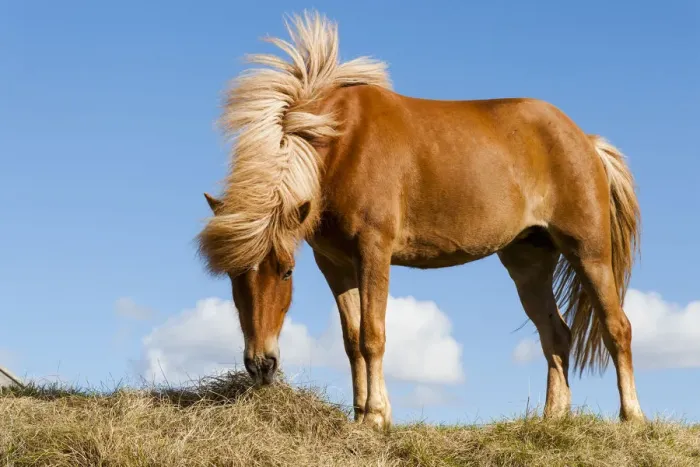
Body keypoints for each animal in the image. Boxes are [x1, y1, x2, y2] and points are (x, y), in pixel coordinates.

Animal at [197, 11, 644, 430]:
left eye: (286, 271)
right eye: (233, 275)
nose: (261, 366)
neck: (341, 144)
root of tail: (586, 141)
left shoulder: (373, 249)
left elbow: (373, 334)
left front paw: (377, 416)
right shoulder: (335, 263)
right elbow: (351, 339)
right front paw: (360, 415)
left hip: (589, 253)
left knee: (617, 327)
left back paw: (632, 416)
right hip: (528, 262)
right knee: (556, 334)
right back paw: (553, 417)